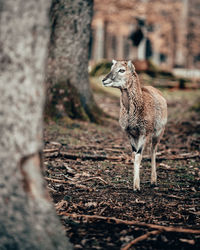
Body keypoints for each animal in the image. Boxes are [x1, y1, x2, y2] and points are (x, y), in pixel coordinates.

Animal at [101, 59, 167, 190]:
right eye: (111, 68)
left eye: (122, 70)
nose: (104, 80)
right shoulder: (129, 133)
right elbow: (133, 155)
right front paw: (134, 185)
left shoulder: (144, 132)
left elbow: (138, 156)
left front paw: (137, 187)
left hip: (159, 131)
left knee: (153, 151)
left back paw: (153, 181)